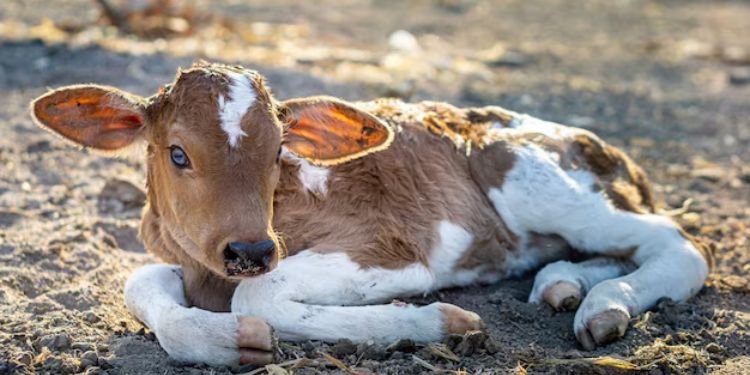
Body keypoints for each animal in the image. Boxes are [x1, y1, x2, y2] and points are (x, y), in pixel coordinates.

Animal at [29, 61, 712, 368]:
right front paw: (229, 339)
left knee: (680, 245)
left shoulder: (391, 248)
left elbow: (261, 296)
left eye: (278, 151)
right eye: (177, 153)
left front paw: (442, 324)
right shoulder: (173, 254)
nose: (250, 250)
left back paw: (604, 308)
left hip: (532, 177)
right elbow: (140, 281)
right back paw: (563, 286)